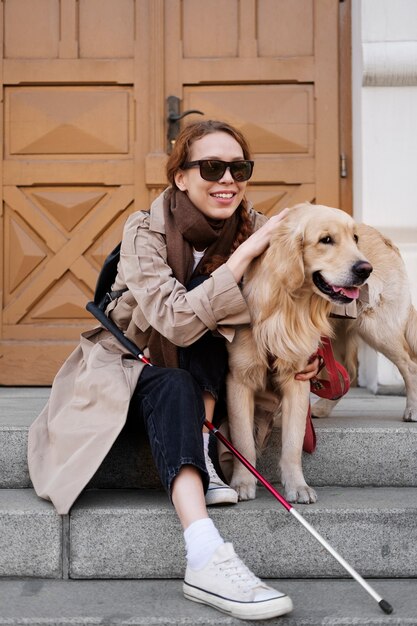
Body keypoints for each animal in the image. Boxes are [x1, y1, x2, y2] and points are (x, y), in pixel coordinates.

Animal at [224, 202, 370, 504]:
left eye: (355, 238)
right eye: (326, 239)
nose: (366, 269)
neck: (287, 306)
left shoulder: (298, 380)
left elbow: (292, 442)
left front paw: (297, 486)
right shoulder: (239, 379)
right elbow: (243, 441)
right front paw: (243, 482)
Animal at [312, 222, 416, 422]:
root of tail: (384, 238)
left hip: (375, 328)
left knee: (410, 366)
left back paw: (412, 410)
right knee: (345, 374)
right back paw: (320, 409)